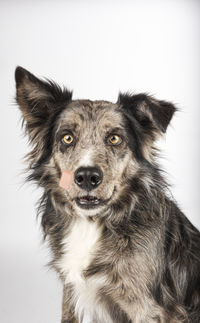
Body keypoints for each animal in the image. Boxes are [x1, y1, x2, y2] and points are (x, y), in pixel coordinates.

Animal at [15, 66, 200, 323]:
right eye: (67, 137)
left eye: (114, 138)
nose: (87, 177)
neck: (92, 223)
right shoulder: (71, 291)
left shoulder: (147, 307)